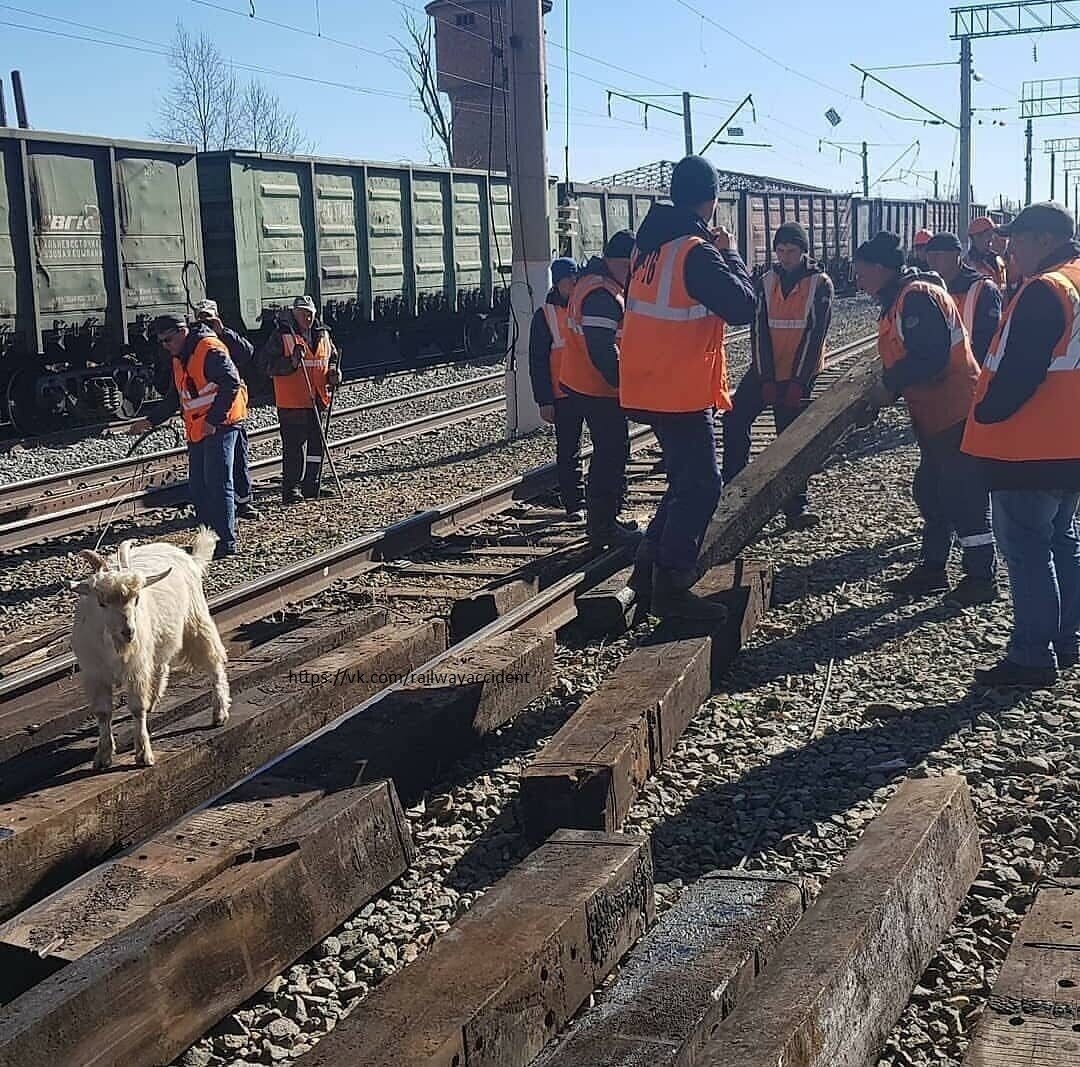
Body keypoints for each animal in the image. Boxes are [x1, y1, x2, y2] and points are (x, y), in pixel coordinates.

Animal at [70, 527, 231, 768]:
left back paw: (219, 713)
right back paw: (154, 701)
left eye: (136, 599)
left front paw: (144, 754)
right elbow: (103, 713)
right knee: (161, 667)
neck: (115, 648)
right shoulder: (95, 673)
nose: (128, 632)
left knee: (214, 662)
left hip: (196, 622)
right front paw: (103, 756)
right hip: (159, 641)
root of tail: (188, 557)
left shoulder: (136, 669)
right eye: (101, 603)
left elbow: (137, 709)